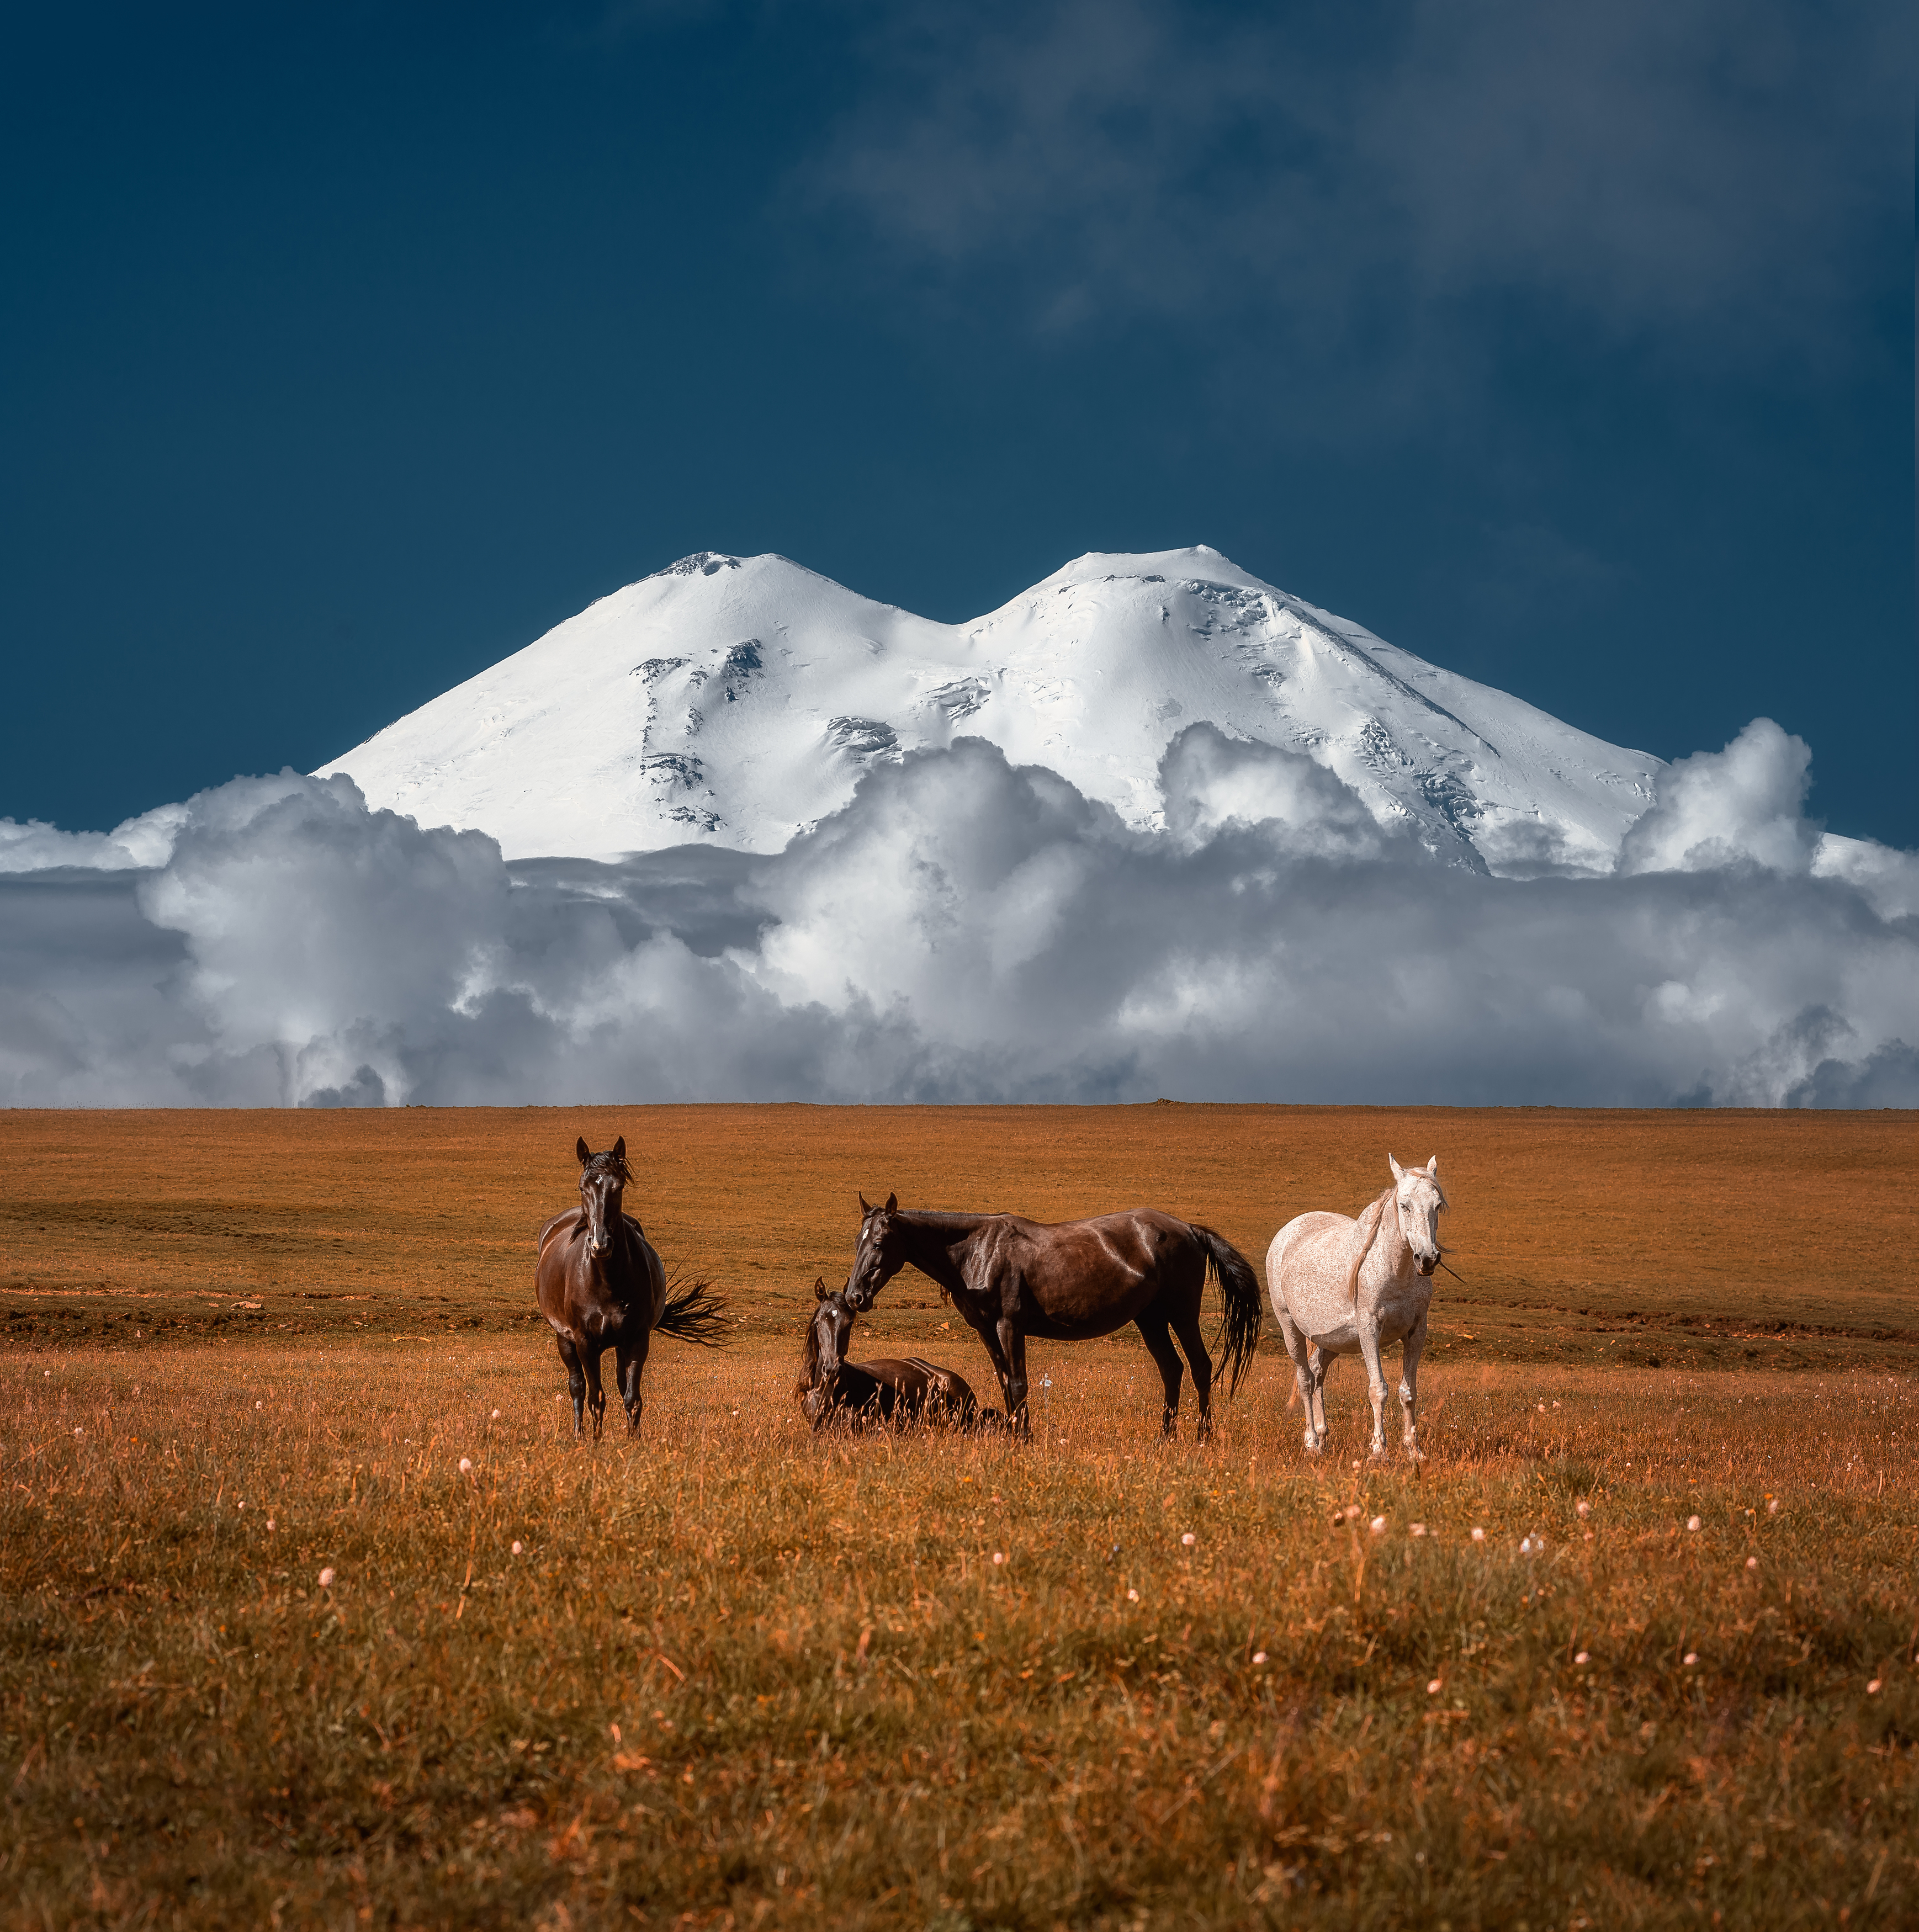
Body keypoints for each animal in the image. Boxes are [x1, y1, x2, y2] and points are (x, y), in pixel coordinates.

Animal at [533, 1136, 727, 1445]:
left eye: (619, 1187)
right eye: (582, 1187)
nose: (600, 1244)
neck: (606, 1281)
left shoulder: (637, 1339)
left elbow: (632, 1397)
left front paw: (633, 1440)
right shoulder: (585, 1342)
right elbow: (595, 1397)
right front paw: (596, 1440)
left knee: (620, 1384)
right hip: (565, 1339)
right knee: (577, 1387)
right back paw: (578, 1433)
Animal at [839, 1182, 1260, 1445]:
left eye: (880, 1242)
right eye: (857, 1241)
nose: (856, 1296)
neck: (977, 1251)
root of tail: (1189, 1229)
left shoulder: (1010, 1326)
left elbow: (1019, 1384)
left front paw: (1023, 1439)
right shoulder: (987, 1331)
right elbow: (1005, 1383)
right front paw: (1014, 1434)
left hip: (1181, 1314)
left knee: (1201, 1367)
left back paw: (1203, 1437)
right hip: (1151, 1319)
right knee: (1172, 1369)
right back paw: (1165, 1438)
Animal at [1268, 1151, 1445, 1453]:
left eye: (1437, 1206)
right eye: (1404, 1206)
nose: (1427, 1259)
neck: (1396, 1271)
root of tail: (1285, 1233)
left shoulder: (1417, 1331)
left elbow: (1408, 1392)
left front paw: (1414, 1451)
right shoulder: (1369, 1329)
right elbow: (1378, 1390)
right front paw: (1379, 1450)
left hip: (1331, 1340)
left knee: (1317, 1372)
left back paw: (1322, 1438)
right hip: (1290, 1327)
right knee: (1305, 1379)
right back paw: (1311, 1440)